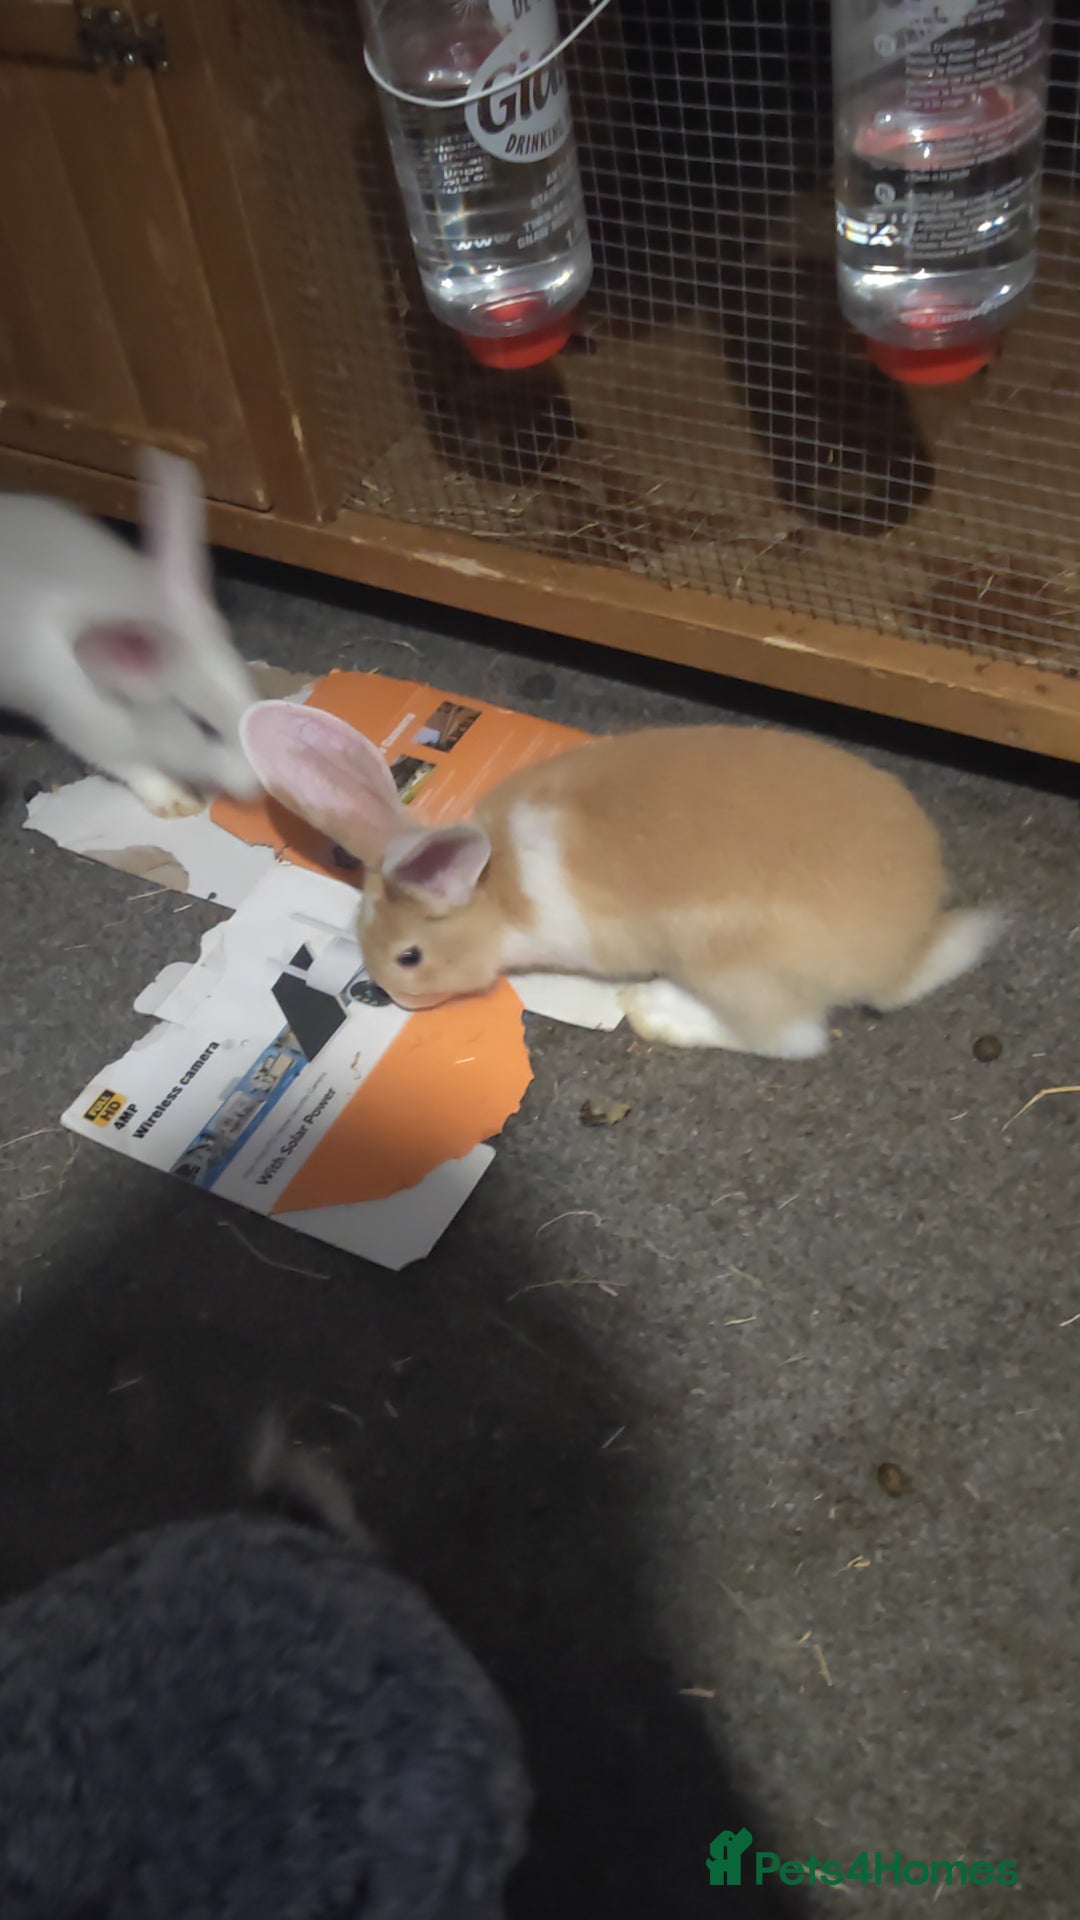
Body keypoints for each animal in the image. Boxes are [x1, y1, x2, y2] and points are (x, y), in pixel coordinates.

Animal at [0, 449, 260, 816]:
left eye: (250, 689)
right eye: (203, 727)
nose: (258, 788)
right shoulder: (86, 733)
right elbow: (138, 770)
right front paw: (178, 801)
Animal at [239, 701, 1000, 1058]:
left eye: (409, 956)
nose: (395, 999)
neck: (498, 890)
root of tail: (904, 954)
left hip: (732, 965)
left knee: (791, 1039)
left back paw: (659, 1012)